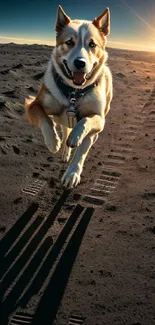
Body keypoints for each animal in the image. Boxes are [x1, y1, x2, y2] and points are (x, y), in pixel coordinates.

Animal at [25, 5, 112, 187]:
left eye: (92, 44)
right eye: (69, 42)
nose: (80, 63)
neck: (74, 92)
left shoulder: (99, 119)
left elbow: (86, 121)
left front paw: (75, 138)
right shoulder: (33, 105)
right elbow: (45, 118)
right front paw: (53, 142)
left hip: (95, 131)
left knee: (83, 147)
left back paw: (73, 170)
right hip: (62, 119)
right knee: (65, 129)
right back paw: (65, 149)